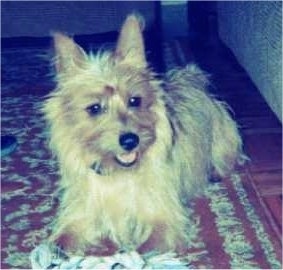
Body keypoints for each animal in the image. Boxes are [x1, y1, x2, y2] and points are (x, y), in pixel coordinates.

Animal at [43, 14, 245, 255]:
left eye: (135, 100)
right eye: (94, 108)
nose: (131, 140)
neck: (118, 174)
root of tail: (192, 81)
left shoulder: (163, 217)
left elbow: (147, 252)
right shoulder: (80, 215)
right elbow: (59, 242)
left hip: (224, 140)